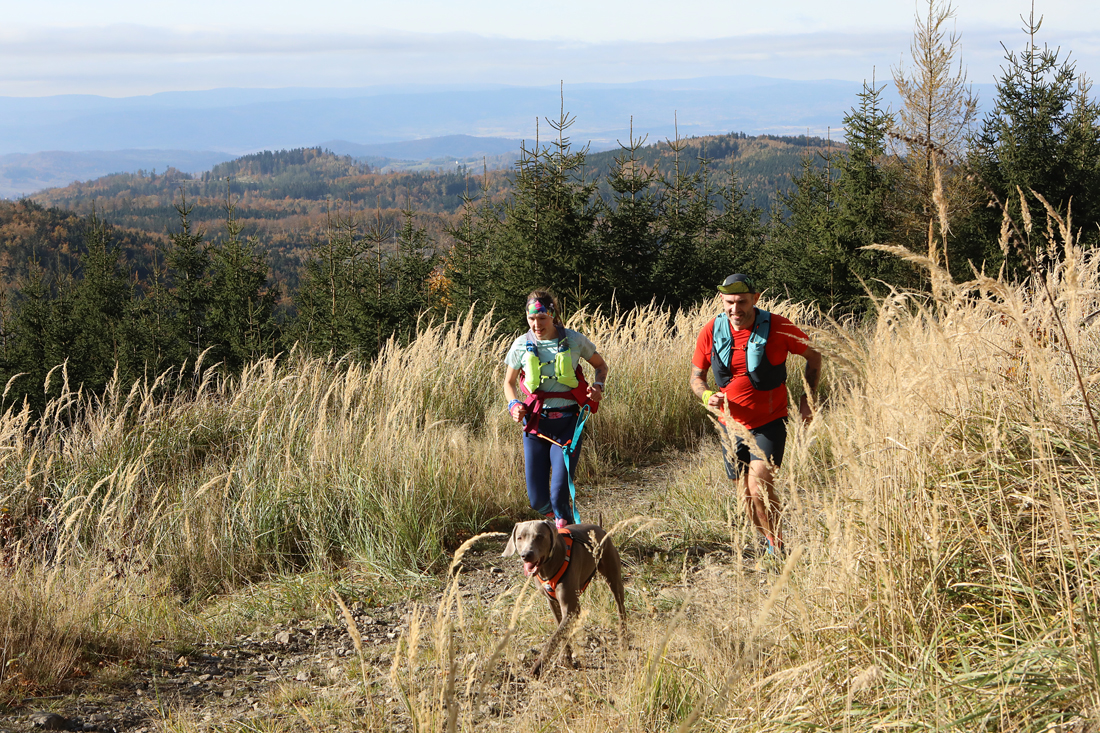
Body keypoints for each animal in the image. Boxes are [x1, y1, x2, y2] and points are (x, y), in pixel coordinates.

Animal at [502, 519, 627, 677]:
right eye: (520, 537)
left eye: (540, 537)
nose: (526, 554)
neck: (548, 568)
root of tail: (600, 528)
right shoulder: (553, 603)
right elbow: (561, 632)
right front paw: (566, 657)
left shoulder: (571, 607)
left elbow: (553, 639)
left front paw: (538, 665)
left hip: (613, 577)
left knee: (620, 607)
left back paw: (623, 639)